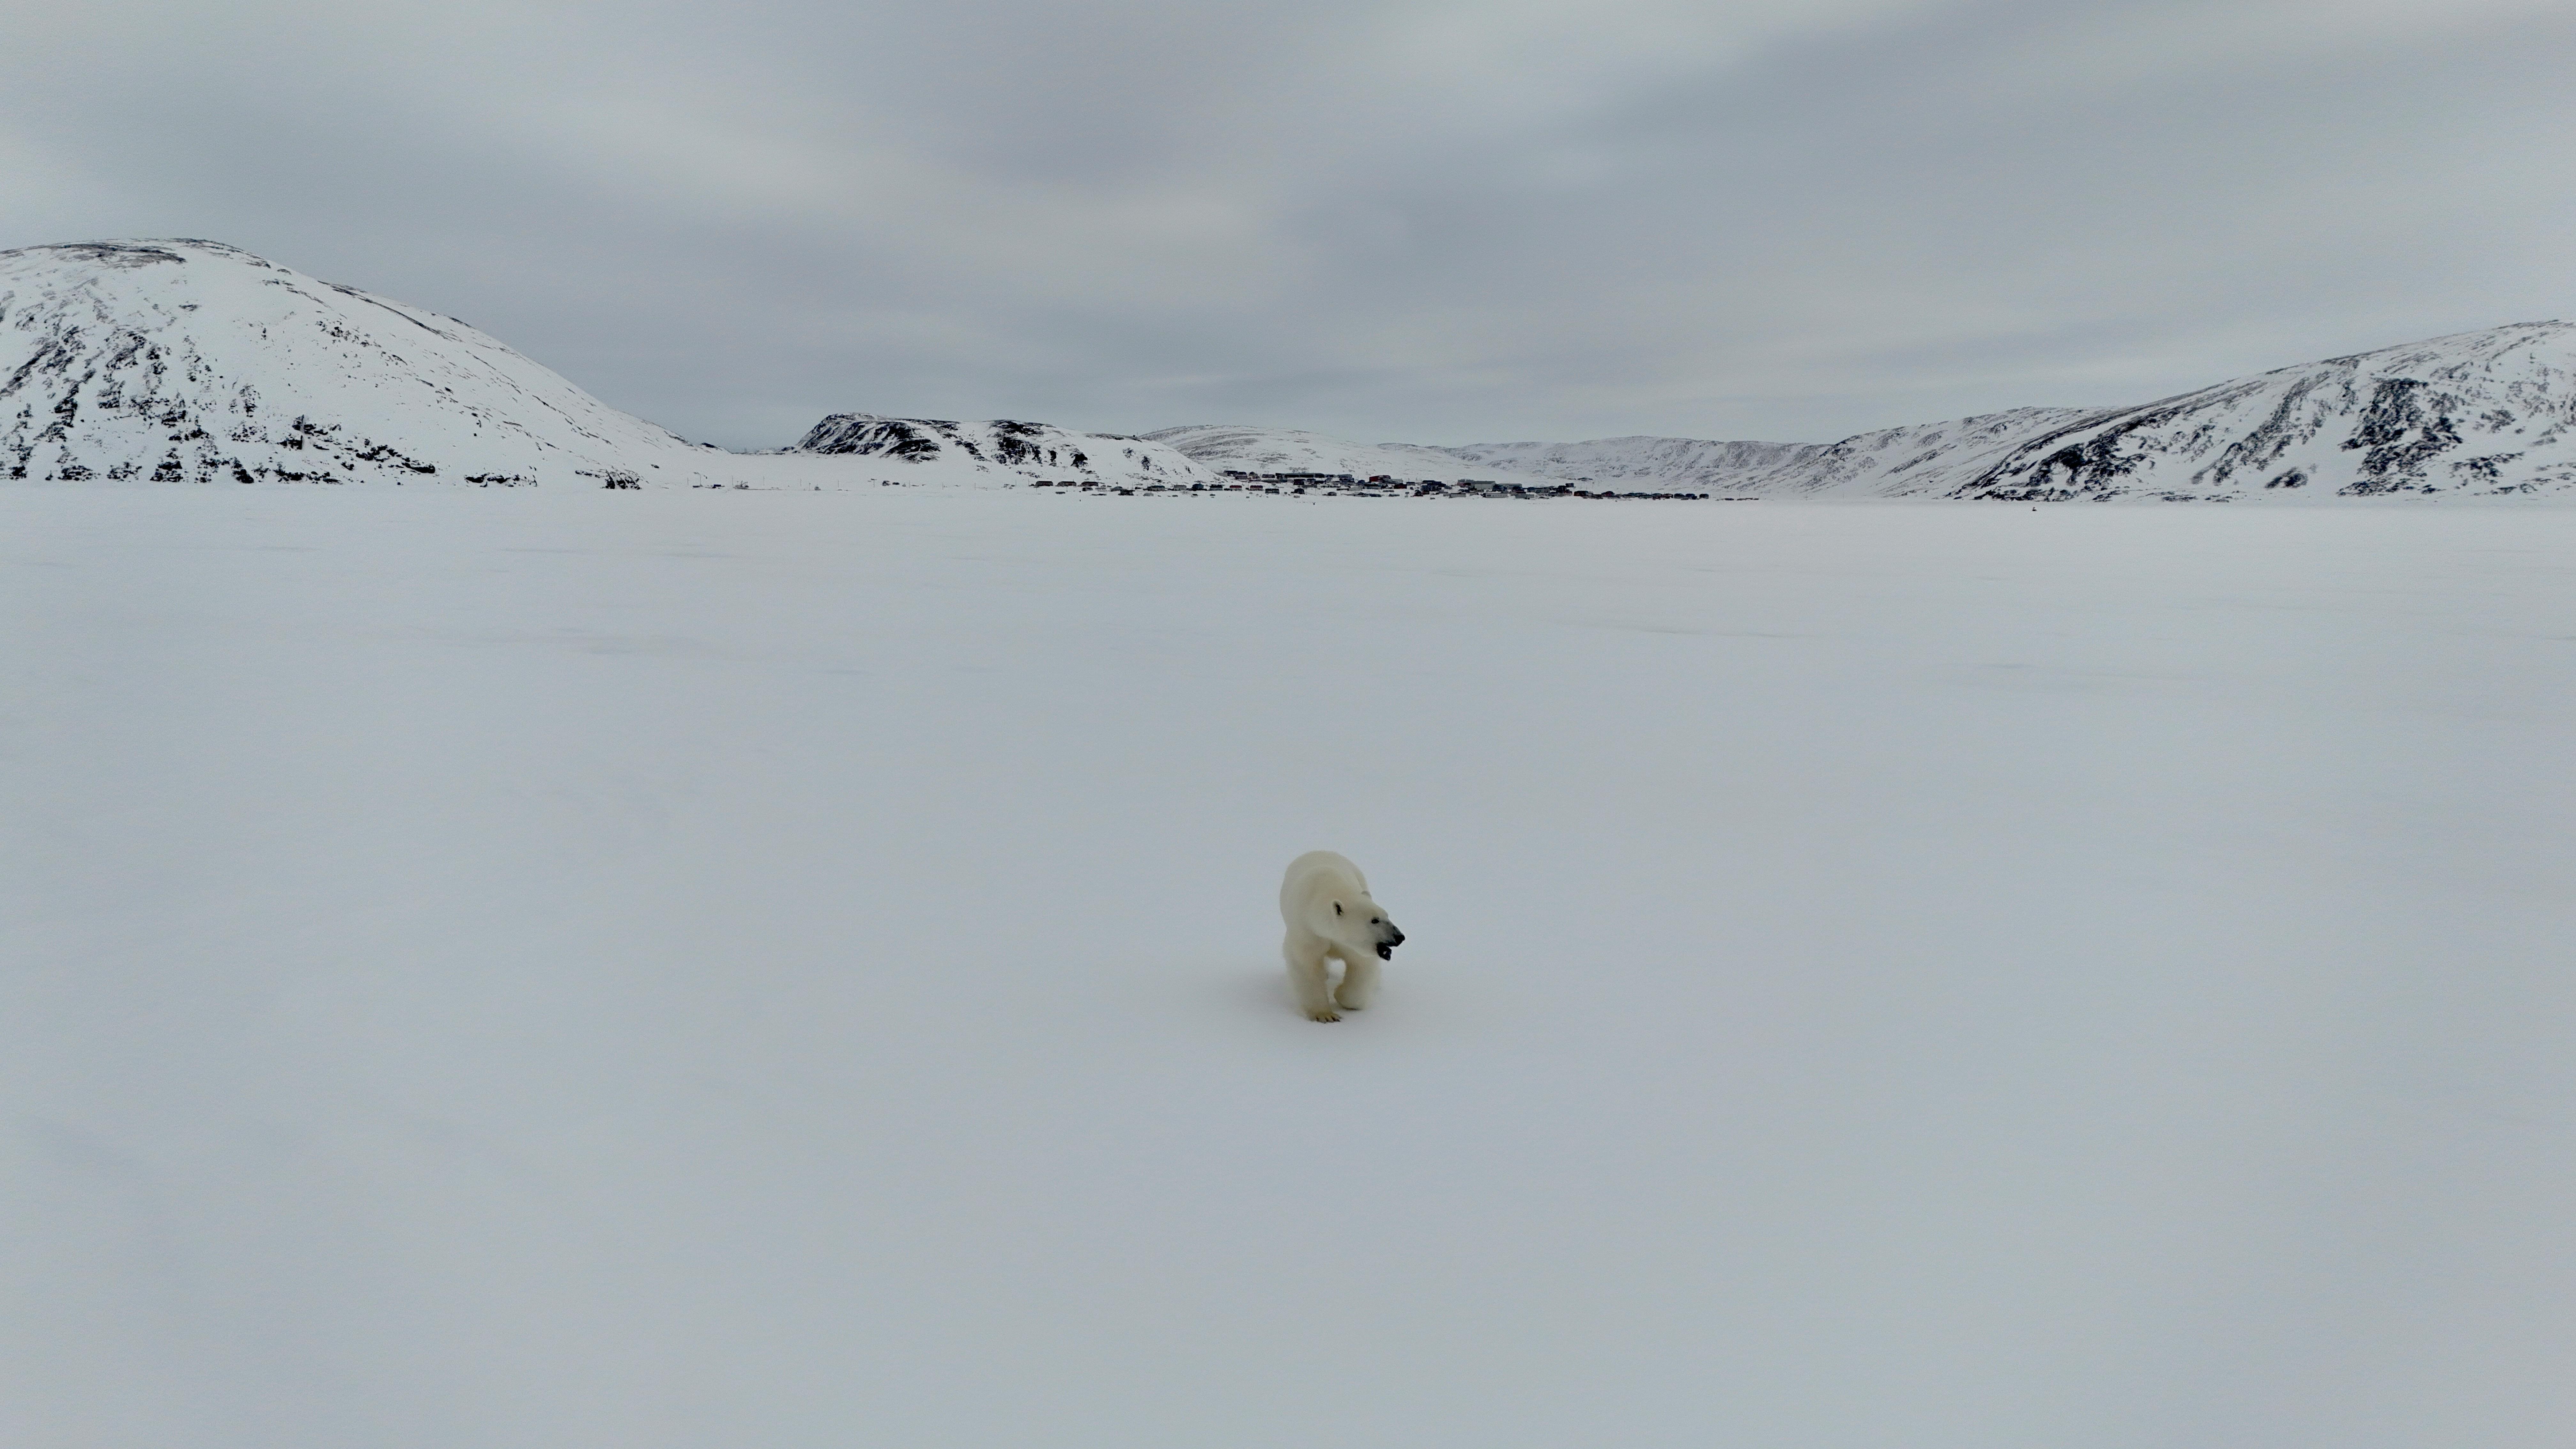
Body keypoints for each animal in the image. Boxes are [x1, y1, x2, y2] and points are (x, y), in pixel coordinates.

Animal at [1280, 851, 1405, 1022]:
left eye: (1387, 915)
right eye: (1374, 920)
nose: (1400, 937)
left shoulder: (1350, 943)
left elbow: (1361, 965)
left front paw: (1341, 996)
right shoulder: (1308, 931)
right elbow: (1307, 966)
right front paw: (1325, 1015)